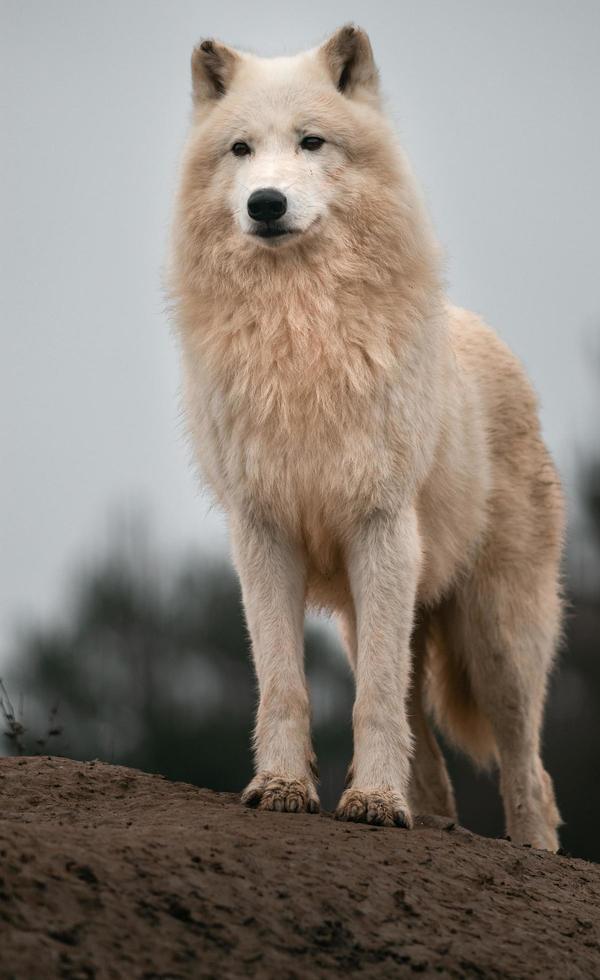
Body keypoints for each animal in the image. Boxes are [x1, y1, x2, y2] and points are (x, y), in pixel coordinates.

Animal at [169, 23, 564, 848]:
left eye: (311, 142)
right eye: (241, 149)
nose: (265, 203)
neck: (300, 332)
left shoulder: (381, 526)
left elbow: (374, 699)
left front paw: (375, 801)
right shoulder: (263, 534)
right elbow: (284, 683)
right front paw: (283, 787)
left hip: (496, 638)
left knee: (528, 770)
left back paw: (530, 849)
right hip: (376, 612)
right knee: (432, 752)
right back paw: (432, 819)